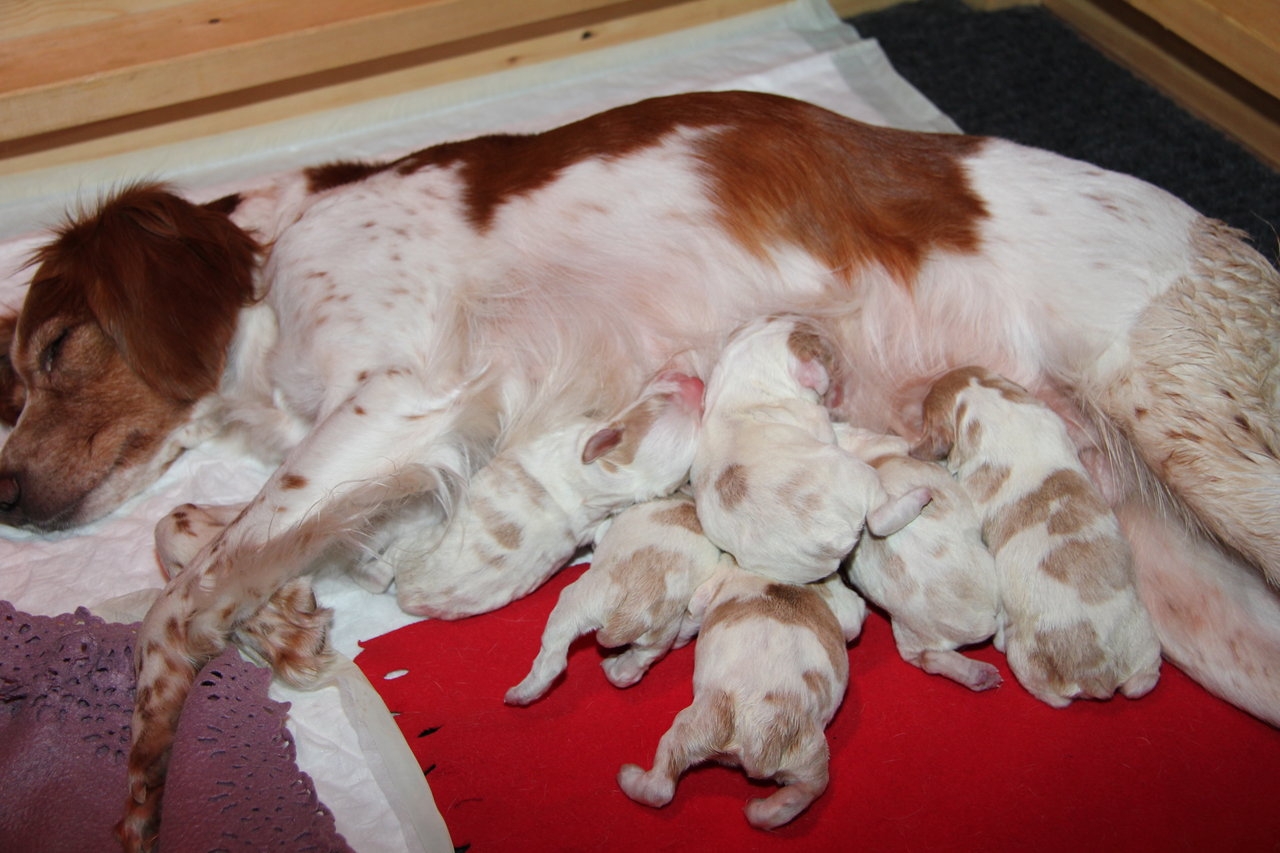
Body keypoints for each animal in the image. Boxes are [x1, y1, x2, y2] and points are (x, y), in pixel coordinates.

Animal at [505, 492, 730, 705]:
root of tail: (636, 612)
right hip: (660, 636)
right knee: (631, 670)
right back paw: (613, 666)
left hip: (576, 604)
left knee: (552, 661)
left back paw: (519, 695)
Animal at [616, 565, 865, 830]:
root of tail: (766, 731)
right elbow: (853, 620)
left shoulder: (711, 586)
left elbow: (692, 614)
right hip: (810, 756)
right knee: (800, 794)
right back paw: (759, 809)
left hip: (699, 725)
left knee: (661, 784)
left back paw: (629, 776)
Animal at [692, 315, 930, 583]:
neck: (742, 382)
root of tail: (826, 544)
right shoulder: (820, 421)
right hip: (858, 473)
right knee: (879, 519)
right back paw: (920, 496)